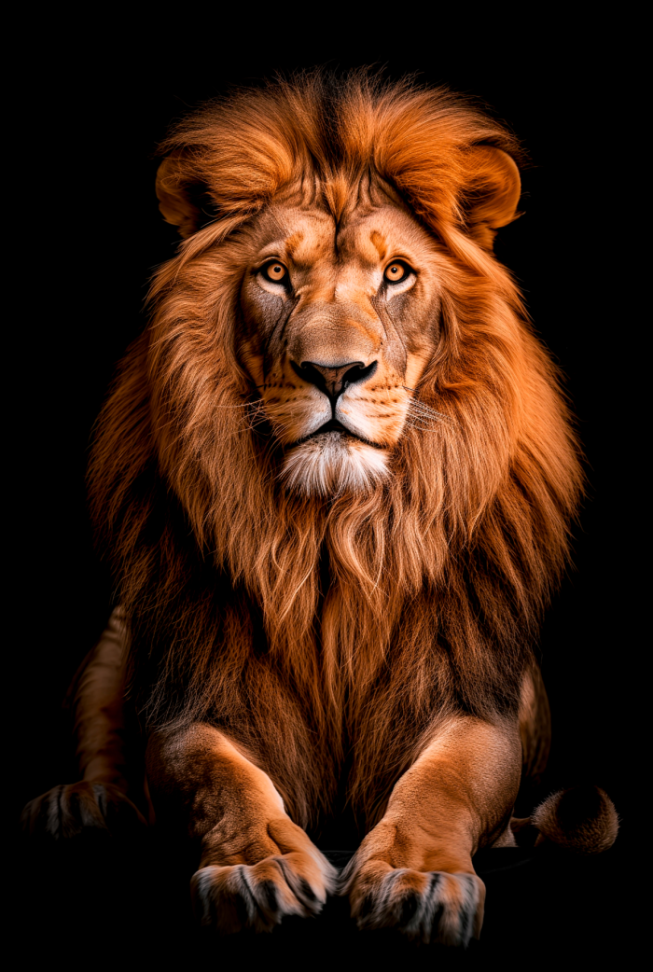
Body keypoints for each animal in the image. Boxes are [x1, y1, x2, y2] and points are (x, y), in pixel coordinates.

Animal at [22, 70, 618, 946]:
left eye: (397, 273)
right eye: (274, 274)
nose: (333, 373)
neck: (335, 537)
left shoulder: (477, 698)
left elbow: (443, 783)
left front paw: (416, 878)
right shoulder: (194, 694)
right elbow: (217, 779)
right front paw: (258, 867)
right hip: (121, 632)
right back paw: (86, 804)